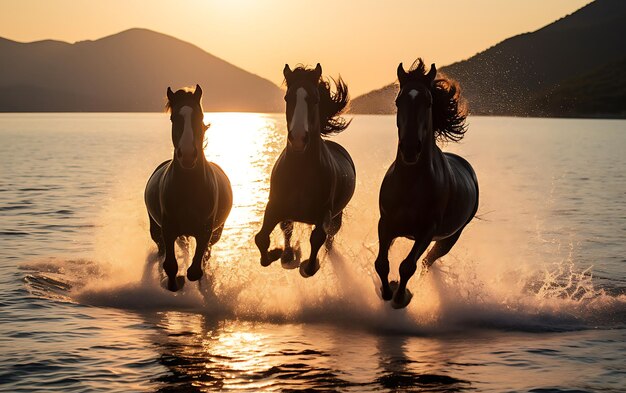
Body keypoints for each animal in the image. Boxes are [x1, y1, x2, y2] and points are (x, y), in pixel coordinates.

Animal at [144, 84, 232, 290]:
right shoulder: (168, 229)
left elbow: (195, 269)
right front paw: (175, 281)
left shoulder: (205, 231)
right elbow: (170, 265)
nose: (188, 155)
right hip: (156, 230)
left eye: (199, 117)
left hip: (216, 233)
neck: (189, 188)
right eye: (174, 118)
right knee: (162, 252)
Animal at [252, 64, 352, 278]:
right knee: (287, 229)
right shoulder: (274, 206)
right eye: (287, 97)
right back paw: (288, 254)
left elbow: (317, 239)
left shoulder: (324, 213)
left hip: (336, 218)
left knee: (329, 239)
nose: (298, 138)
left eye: (315, 98)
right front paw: (278, 254)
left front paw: (307, 265)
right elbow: (262, 238)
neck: (300, 171)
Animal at [376, 59, 478, 308]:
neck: (410, 184)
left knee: (427, 263)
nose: (411, 148)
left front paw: (400, 296)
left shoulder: (426, 232)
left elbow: (407, 266)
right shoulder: (386, 224)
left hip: (449, 238)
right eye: (399, 100)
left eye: (428, 101)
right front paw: (386, 292)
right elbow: (381, 263)